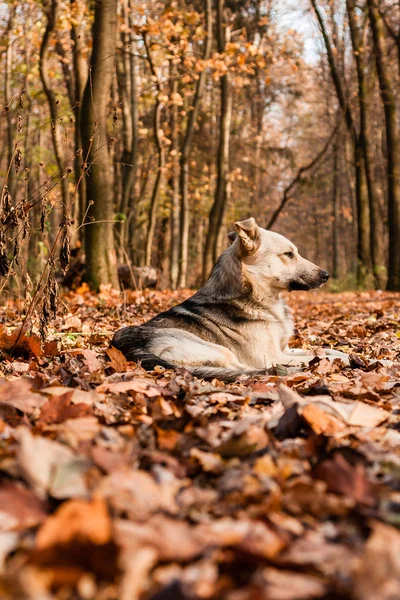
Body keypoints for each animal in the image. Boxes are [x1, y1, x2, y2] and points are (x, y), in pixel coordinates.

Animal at [110, 218, 346, 382]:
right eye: (289, 254)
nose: (326, 275)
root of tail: (127, 347)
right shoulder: (273, 355)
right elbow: (325, 356)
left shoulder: (284, 349)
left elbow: (325, 351)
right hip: (220, 350)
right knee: (241, 370)